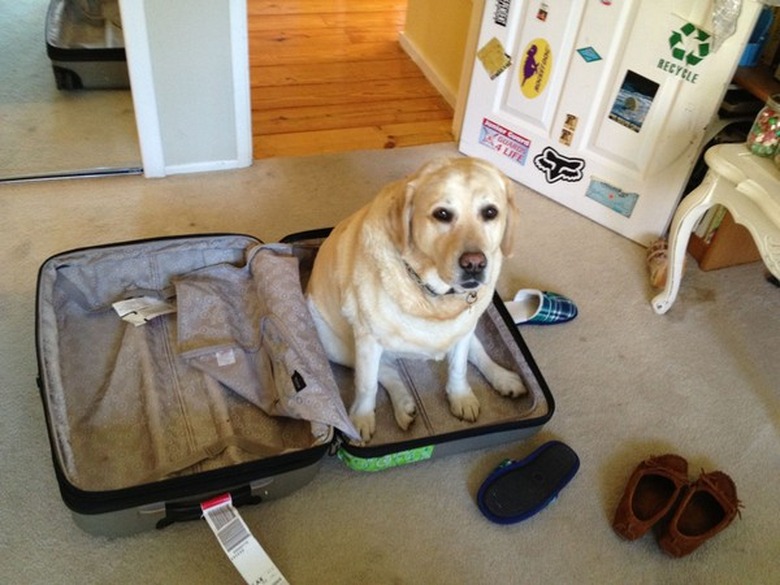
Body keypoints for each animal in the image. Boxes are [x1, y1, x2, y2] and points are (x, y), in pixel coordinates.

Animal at [308, 157, 528, 440]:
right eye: (442, 214)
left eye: (490, 212)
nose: (474, 264)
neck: (431, 293)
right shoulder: (367, 339)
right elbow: (367, 384)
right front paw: (362, 417)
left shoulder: (463, 329)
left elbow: (459, 367)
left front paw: (461, 396)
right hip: (334, 345)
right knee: (384, 371)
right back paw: (403, 404)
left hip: (466, 329)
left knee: (477, 353)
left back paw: (503, 378)